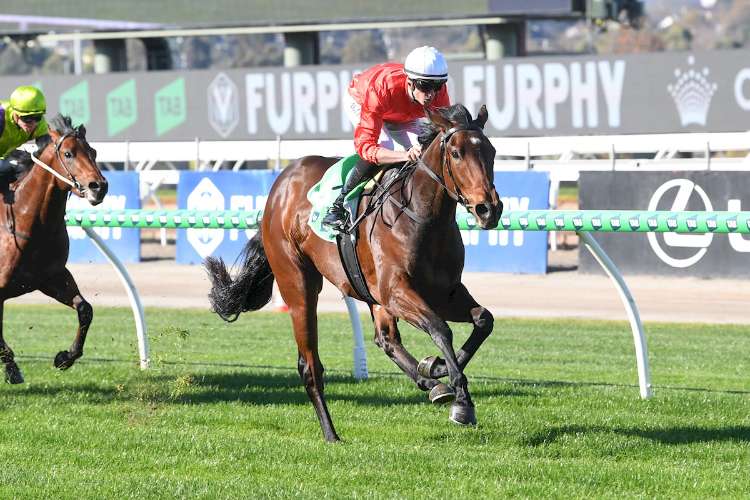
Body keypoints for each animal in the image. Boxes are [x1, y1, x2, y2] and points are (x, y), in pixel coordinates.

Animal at [0, 114, 108, 384]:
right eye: (68, 153)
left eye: (93, 151)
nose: (99, 186)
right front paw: (12, 369)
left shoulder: (51, 277)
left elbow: (85, 309)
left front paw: (65, 357)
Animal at [206, 104, 501, 442]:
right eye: (455, 153)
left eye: (491, 151)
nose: (489, 209)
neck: (423, 219)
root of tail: (279, 188)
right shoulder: (396, 291)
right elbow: (441, 329)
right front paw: (462, 402)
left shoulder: (444, 292)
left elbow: (483, 320)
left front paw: (436, 367)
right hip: (298, 283)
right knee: (310, 365)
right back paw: (331, 433)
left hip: (371, 294)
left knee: (386, 339)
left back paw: (431, 382)